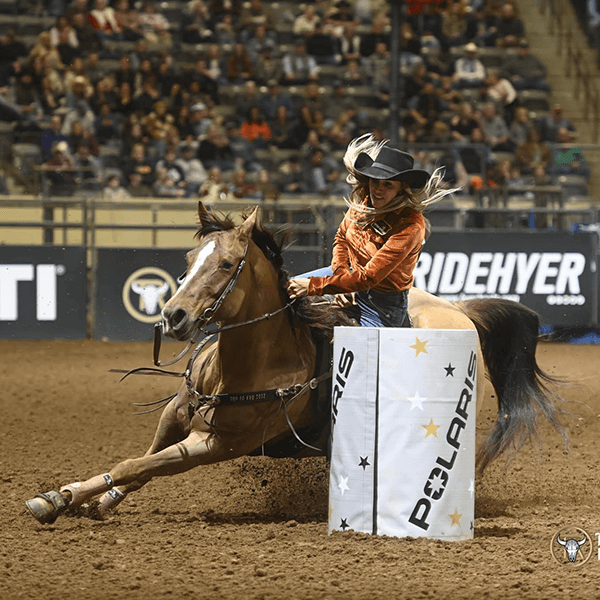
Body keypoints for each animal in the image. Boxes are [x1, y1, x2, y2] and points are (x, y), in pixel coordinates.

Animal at [24, 203, 568, 524]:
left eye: (226, 264)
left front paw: (56, 500)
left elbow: (139, 463)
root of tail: (460, 310)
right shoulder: (177, 413)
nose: (174, 315)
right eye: (188, 259)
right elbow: (138, 462)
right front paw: (93, 497)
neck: (253, 362)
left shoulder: (216, 444)